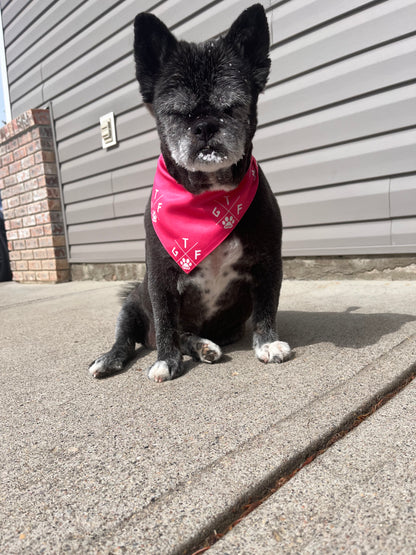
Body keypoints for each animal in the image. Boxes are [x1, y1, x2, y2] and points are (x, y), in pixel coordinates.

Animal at [89, 4, 290, 384]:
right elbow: (167, 323)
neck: (206, 201)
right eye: (174, 112)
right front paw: (166, 361)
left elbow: (266, 307)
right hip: (132, 306)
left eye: (233, 106)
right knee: (135, 337)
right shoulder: (161, 278)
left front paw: (268, 342)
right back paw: (112, 358)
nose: (205, 126)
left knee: (187, 334)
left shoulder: (269, 262)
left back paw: (204, 347)